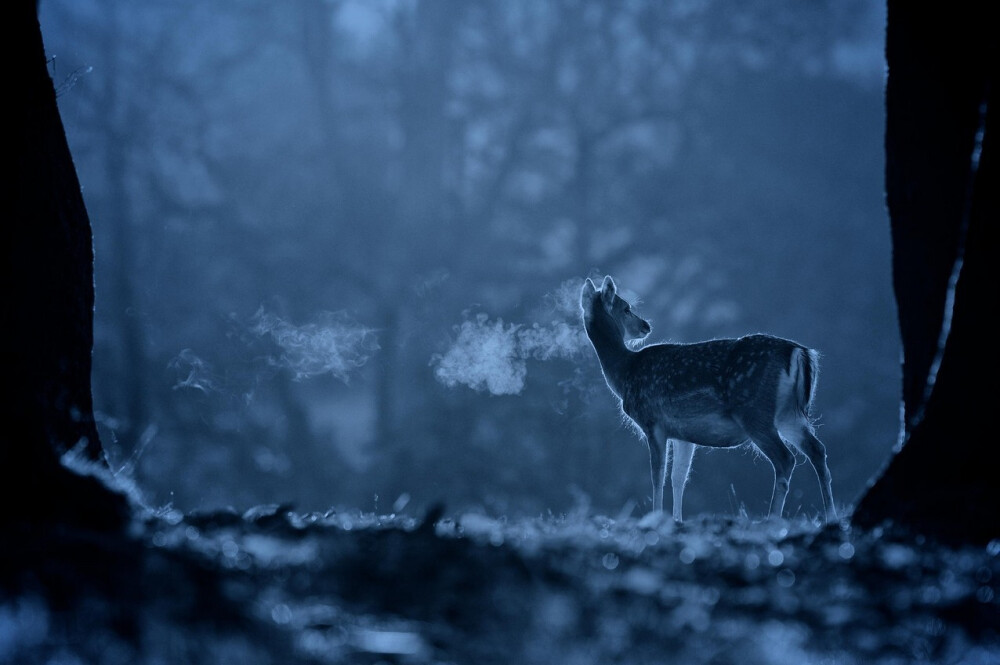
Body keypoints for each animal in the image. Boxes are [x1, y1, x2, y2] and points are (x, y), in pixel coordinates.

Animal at [580, 274, 836, 524]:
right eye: (626, 308)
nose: (646, 325)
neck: (624, 372)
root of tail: (800, 353)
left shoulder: (652, 422)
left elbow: (657, 476)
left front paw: (657, 516)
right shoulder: (682, 434)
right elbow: (678, 477)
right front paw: (677, 520)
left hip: (755, 412)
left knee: (785, 458)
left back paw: (772, 518)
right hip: (789, 415)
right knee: (817, 450)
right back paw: (830, 515)